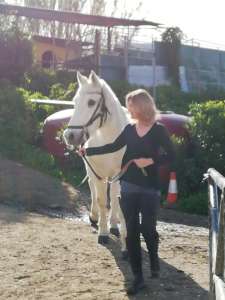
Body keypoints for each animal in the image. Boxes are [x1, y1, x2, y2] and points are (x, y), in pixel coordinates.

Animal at [63, 69, 130, 253]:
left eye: (91, 102)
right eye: (75, 102)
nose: (69, 136)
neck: (109, 139)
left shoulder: (119, 174)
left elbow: (114, 199)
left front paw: (113, 226)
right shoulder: (97, 172)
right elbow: (101, 201)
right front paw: (103, 232)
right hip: (91, 169)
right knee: (92, 188)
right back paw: (94, 216)